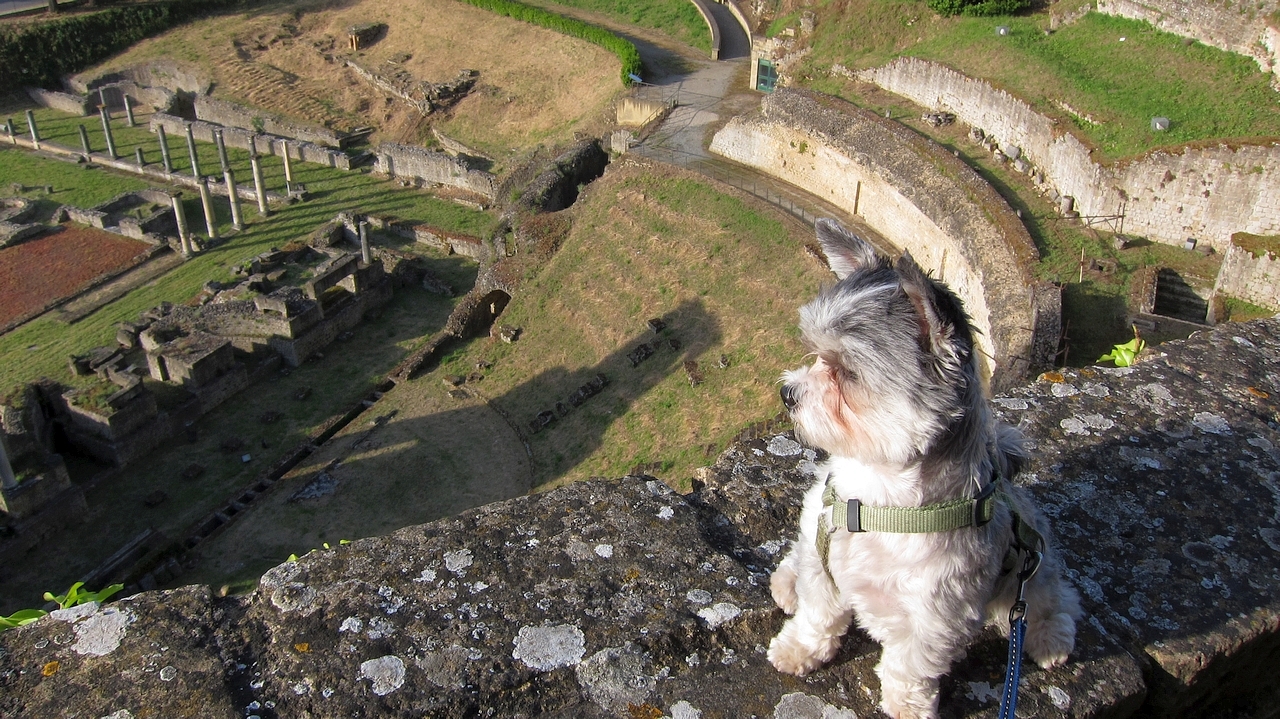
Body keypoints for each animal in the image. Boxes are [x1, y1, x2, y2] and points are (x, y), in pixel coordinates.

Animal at [768, 219, 1080, 719]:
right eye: (817, 355)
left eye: (846, 373)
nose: (788, 393)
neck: (876, 499)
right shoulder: (824, 564)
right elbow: (817, 617)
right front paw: (799, 649)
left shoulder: (938, 614)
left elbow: (910, 664)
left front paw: (907, 703)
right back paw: (787, 580)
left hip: (1032, 566)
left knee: (1052, 599)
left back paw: (1050, 638)